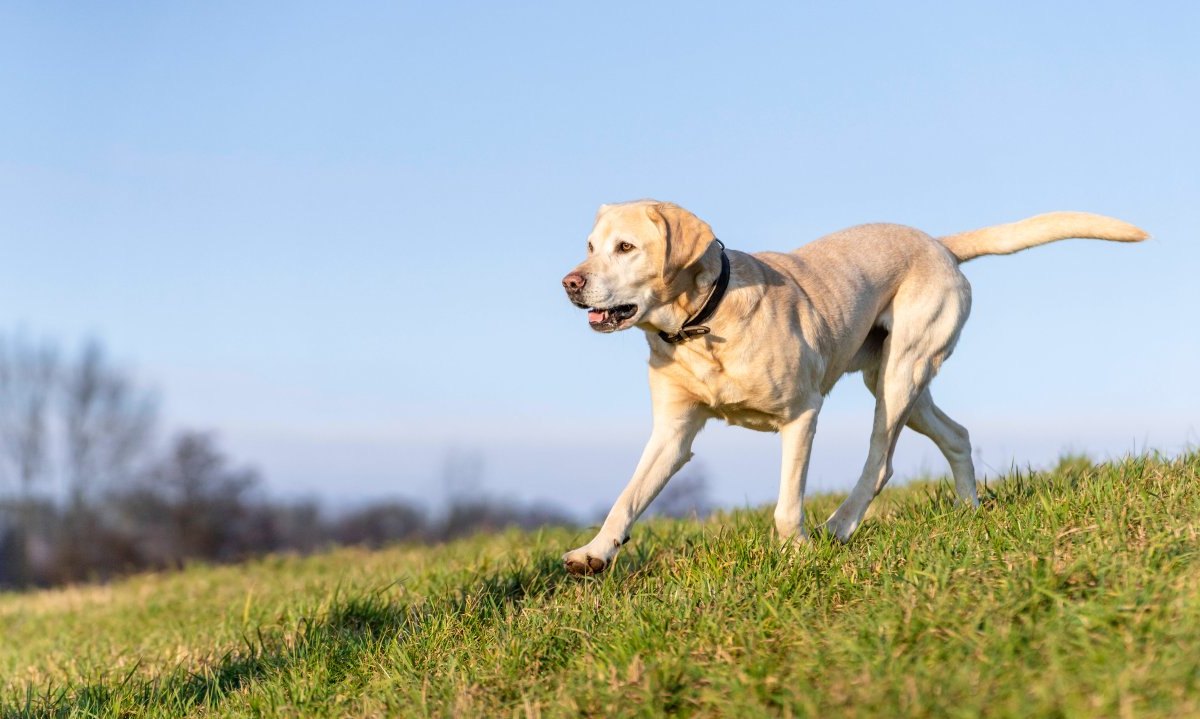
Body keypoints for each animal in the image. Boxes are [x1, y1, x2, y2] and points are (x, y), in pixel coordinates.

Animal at [556, 201, 1147, 573]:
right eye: (589, 245)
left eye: (626, 247)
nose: (569, 283)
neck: (704, 324)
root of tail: (938, 243)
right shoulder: (672, 434)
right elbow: (627, 498)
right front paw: (595, 552)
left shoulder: (802, 413)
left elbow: (786, 504)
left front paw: (795, 553)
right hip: (894, 380)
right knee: (956, 435)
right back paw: (969, 511)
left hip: (901, 374)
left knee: (880, 463)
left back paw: (839, 526)